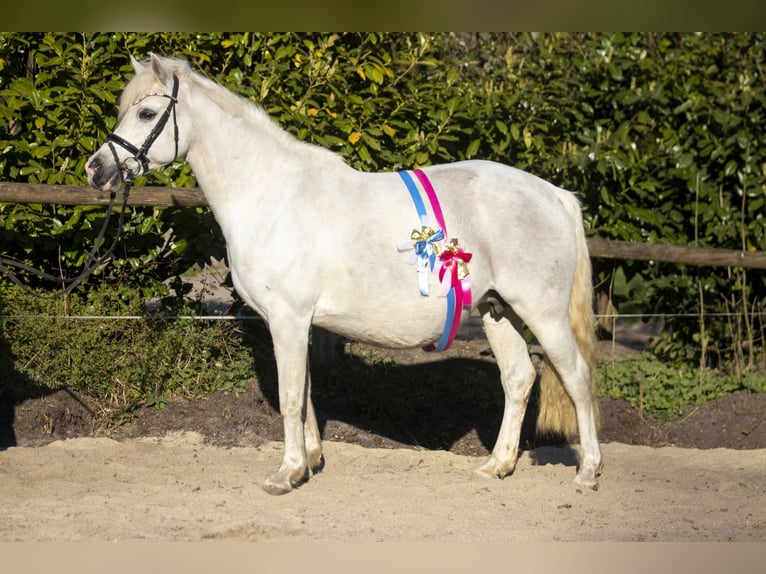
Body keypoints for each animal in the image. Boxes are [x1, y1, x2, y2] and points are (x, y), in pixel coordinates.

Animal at [87, 55, 608, 496]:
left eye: (147, 113)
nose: (97, 169)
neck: (268, 194)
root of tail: (554, 194)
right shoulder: (295, 322)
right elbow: (305, 392)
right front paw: (310, 461)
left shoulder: (288, 317)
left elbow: (291, 395)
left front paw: (286, 473)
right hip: (496, 310)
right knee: (519, 378)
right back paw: (497, 466)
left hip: (542, 313)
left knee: (577, 378)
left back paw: (587, 471)